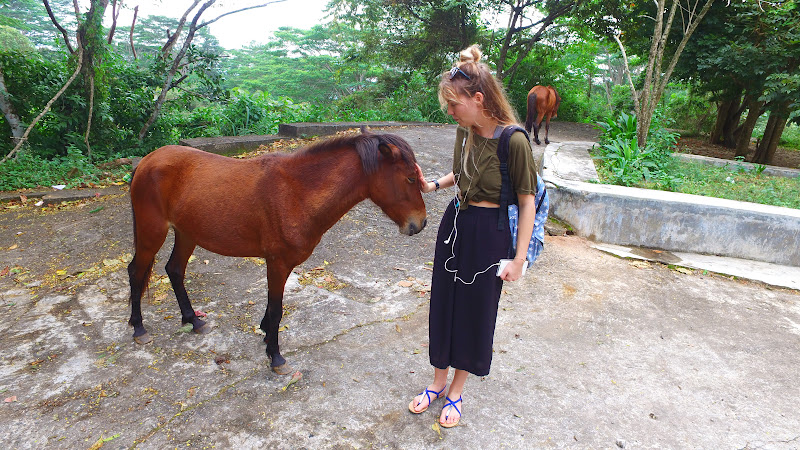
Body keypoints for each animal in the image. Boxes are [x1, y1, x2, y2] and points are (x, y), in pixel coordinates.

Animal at [126, 126, 424, 372]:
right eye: (410, 178)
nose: (420, 223)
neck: (296, 192)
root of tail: (147, 161)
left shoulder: (279, 265)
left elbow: (272, 307)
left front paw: (267, 336)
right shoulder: (277, 262)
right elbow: (277, 309)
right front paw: (276, 356)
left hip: (187, 234)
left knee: (174, 270)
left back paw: (192, 320)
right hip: (153, 232)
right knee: (136, 272)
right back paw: (138, 328)